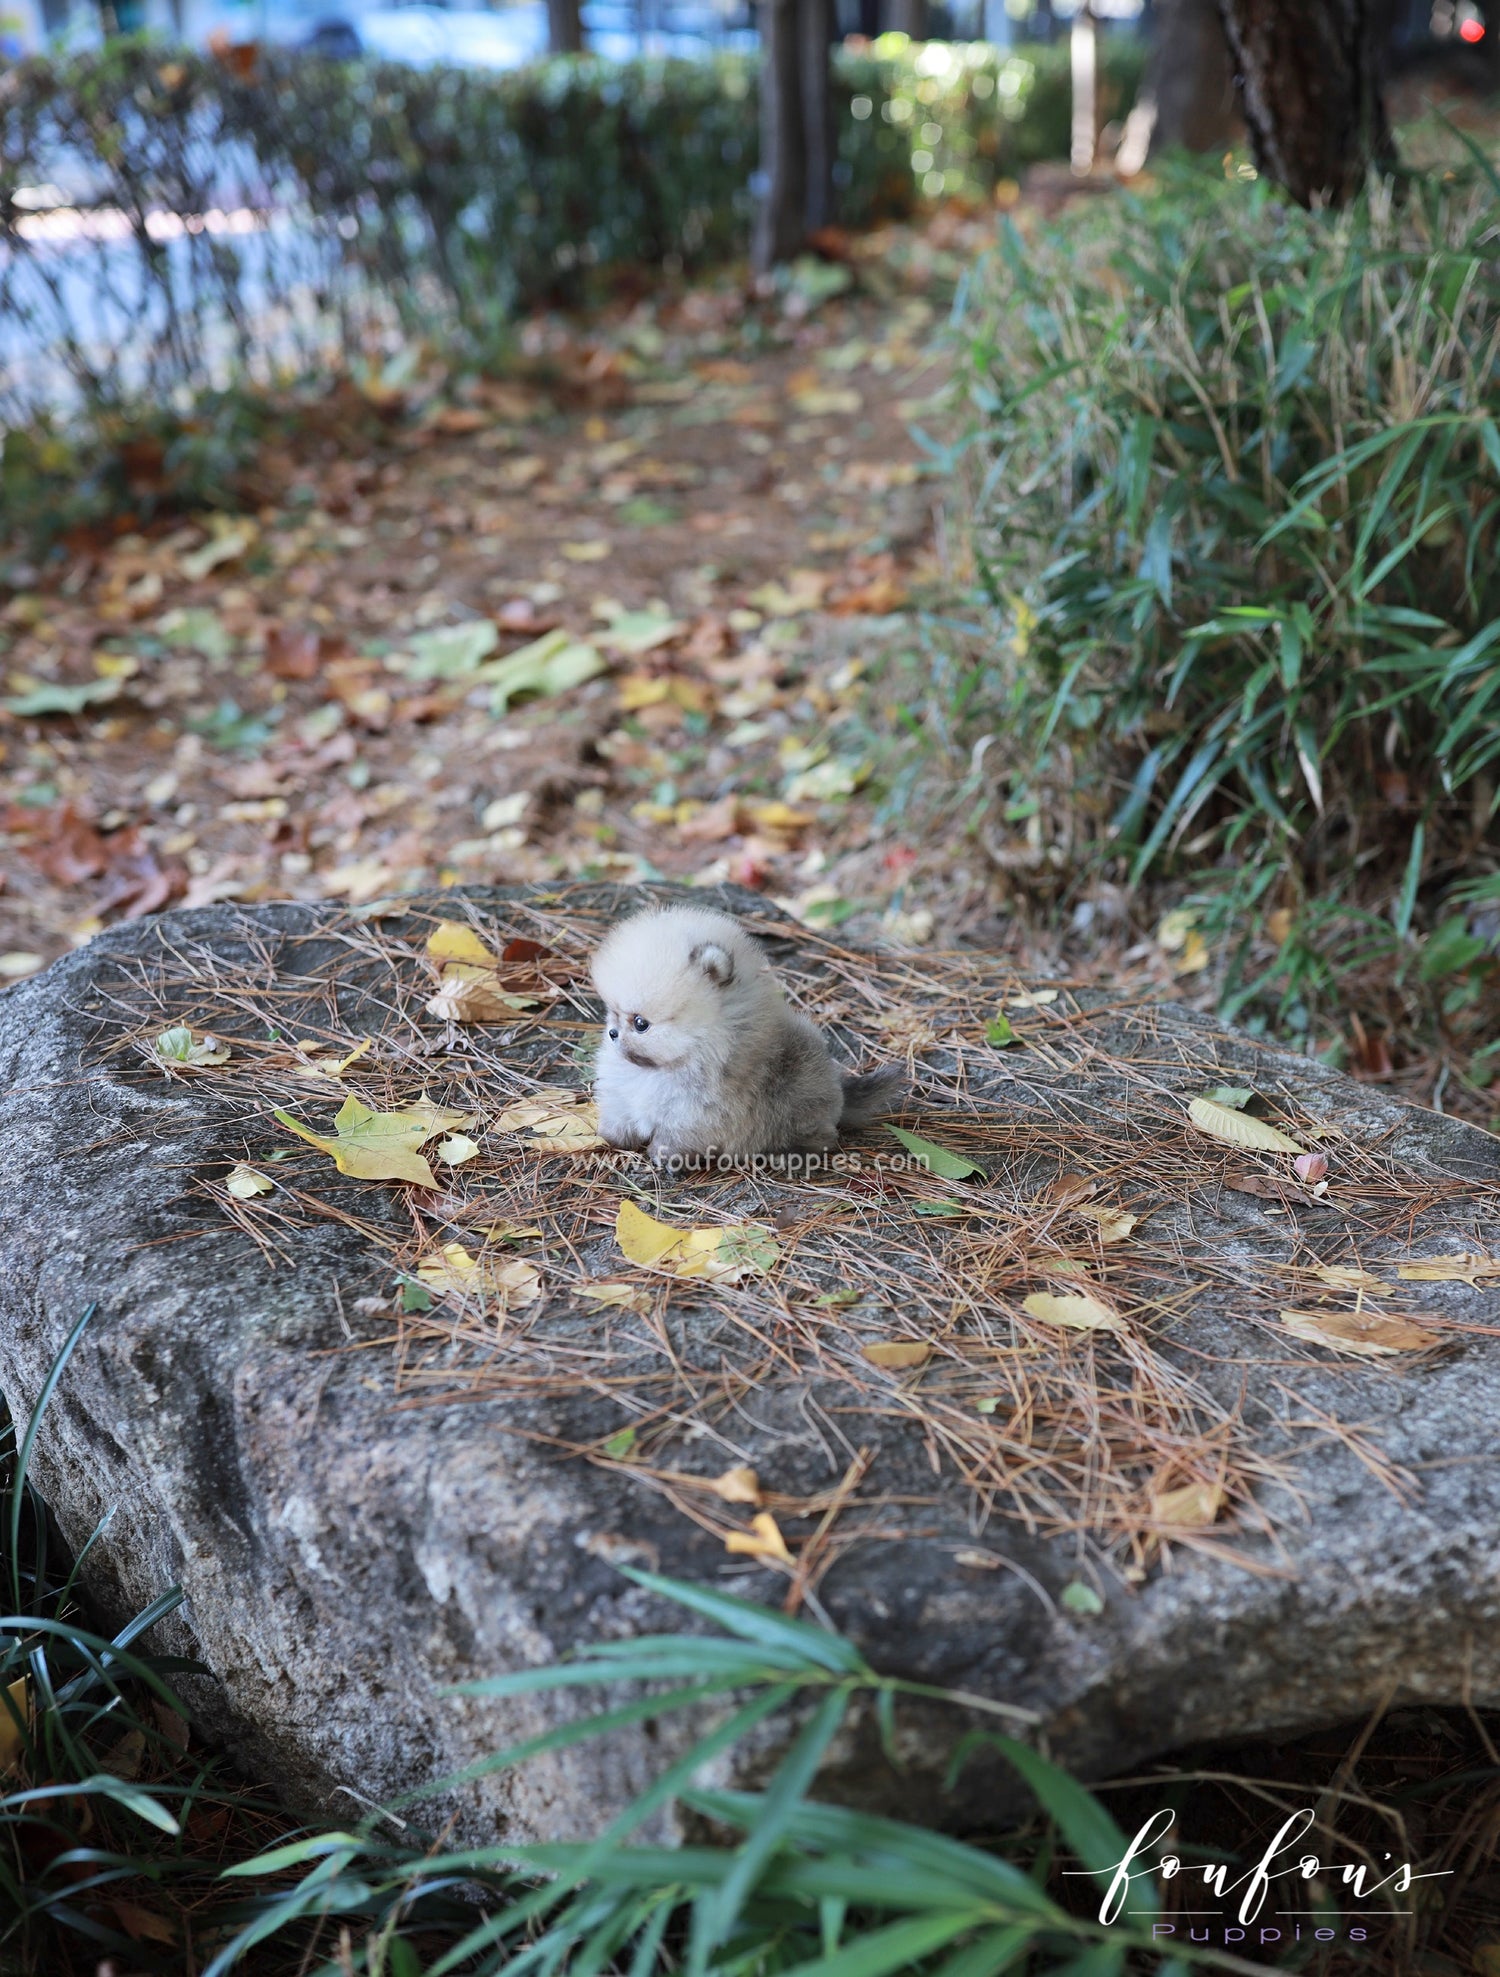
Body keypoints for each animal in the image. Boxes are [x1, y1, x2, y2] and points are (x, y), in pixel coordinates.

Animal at [592, 905, 905, 1162]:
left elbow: (676, 1136)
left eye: (640, 1023)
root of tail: (838, 1092)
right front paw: (613, 1135)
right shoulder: (625, 1092)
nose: (613, 1033)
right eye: (612, 1012)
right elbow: (621, 1111)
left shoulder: (695, 1113)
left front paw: (664, 1155)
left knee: (821, 1139)